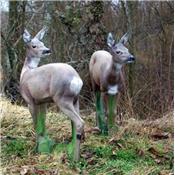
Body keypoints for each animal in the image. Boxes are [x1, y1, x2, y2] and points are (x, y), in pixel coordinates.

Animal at [19, 26, 84, 162]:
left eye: (42, 43)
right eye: (34, 45)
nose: (47, 50)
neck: (25, 73)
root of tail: (76, 80)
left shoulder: (29, 100)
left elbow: (35, 122)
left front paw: (37, 147)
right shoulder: (42, 101)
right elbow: (42, 121)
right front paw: (45, 144)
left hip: (62, 99)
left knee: (80, 122)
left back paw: (75, 159)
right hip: (75, 100)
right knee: (75, 123)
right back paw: (72, 152)